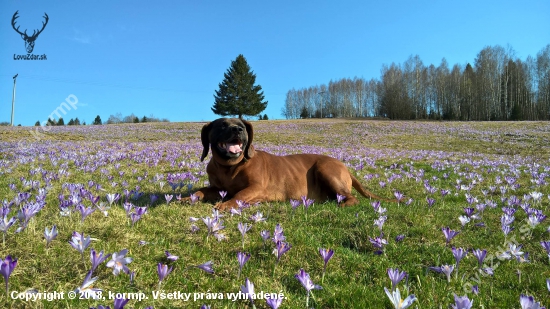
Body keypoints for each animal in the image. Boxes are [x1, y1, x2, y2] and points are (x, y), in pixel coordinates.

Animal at [189, 118, 392, 209]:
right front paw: (189, 197)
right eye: (222, 124)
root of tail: (346, 168)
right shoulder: (217, 188)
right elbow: (202, 190)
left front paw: (226, 204)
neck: (229, 166)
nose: (238, 129)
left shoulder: (257, 188)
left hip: (325, 169)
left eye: (242, 125)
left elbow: (239, 194)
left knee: (351, 198)